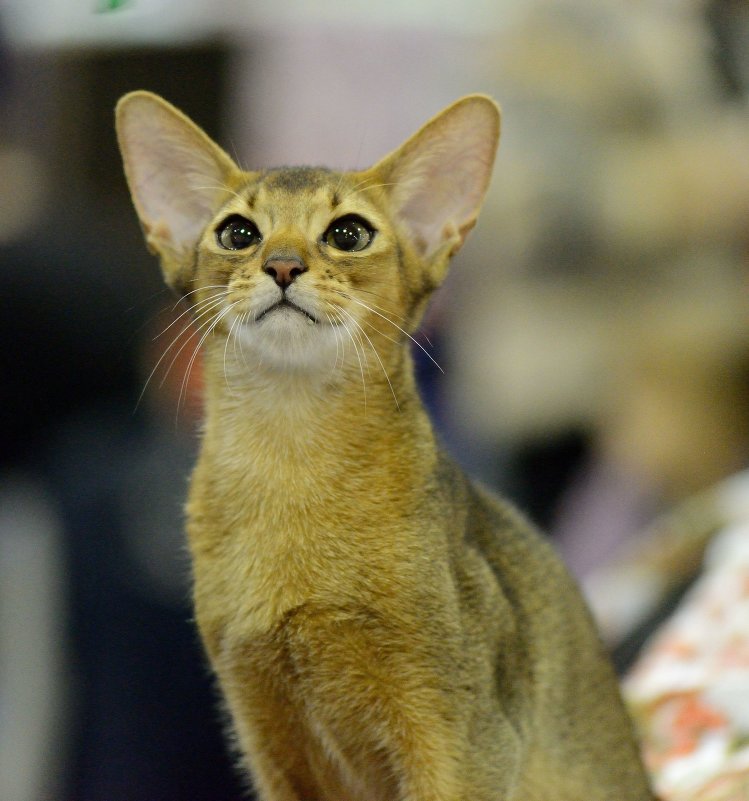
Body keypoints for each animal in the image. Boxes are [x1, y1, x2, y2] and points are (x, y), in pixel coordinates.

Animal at [115, 89, 656, 800]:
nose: (282, 264)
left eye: (348, 233)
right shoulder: (268, 734)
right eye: (238, 233)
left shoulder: (466, 742)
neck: (292, 466)